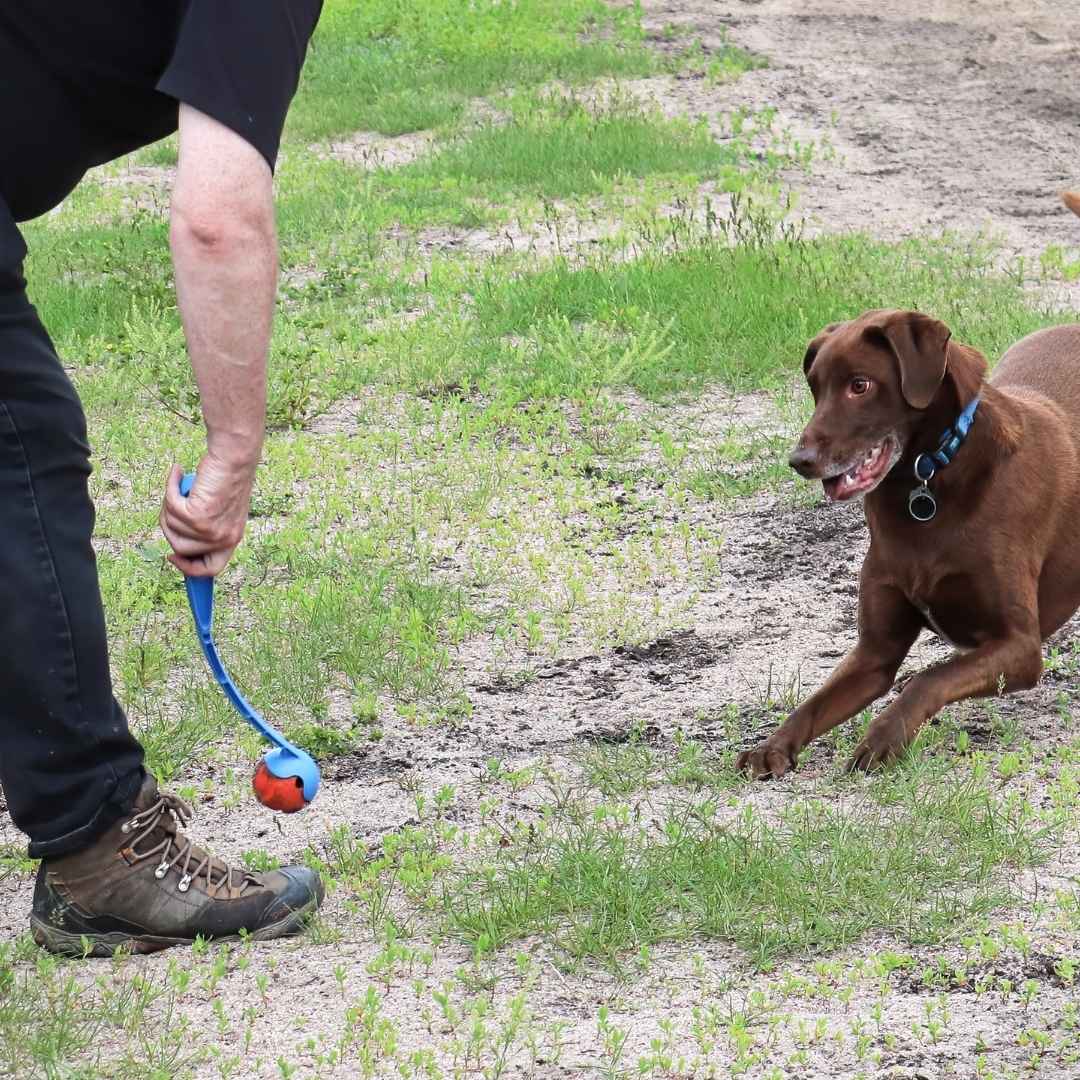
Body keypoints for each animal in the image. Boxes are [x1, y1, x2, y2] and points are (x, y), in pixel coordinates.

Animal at [738, 304, 1080, 777]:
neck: (927, 480)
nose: (799, 461)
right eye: (815, 388)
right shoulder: (874, 654)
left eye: (860, 385)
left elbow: (927, 677)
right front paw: (773, 746)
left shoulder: (1020, 645)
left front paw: (884, 737)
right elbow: (814, 702)